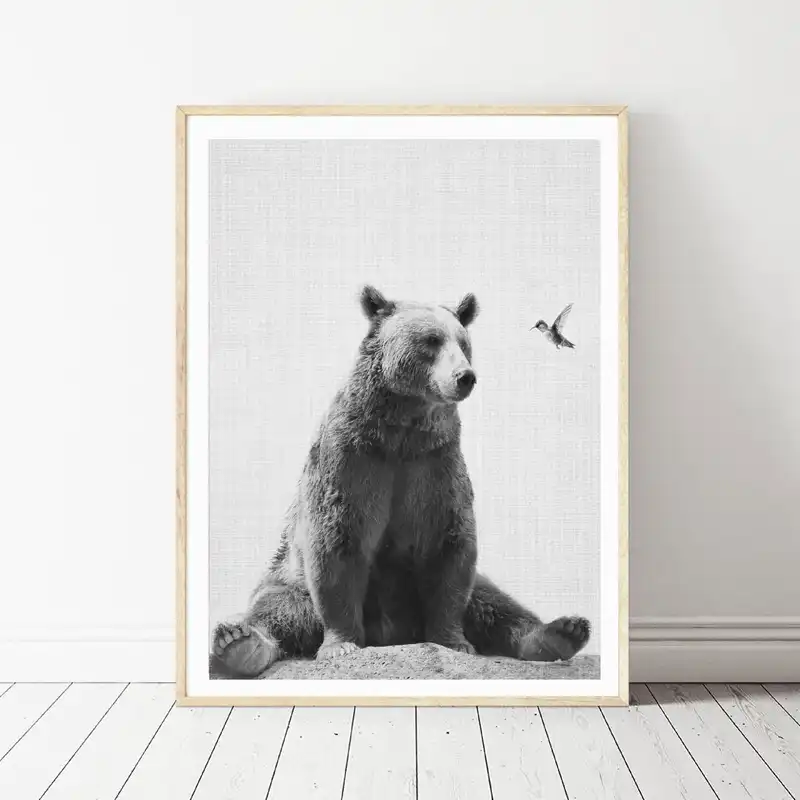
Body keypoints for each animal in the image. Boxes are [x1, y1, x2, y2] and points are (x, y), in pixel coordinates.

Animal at [211, 285, 591, 677]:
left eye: (463, 342)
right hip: (287, 578)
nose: (465, 376)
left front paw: (454, 641)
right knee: (276, 609)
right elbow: (337, 541)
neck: (401, 433)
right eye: (431, 340)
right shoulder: (353, 462)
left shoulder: (435, 465)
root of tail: (392, 634)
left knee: (492, 599)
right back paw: (238, 641)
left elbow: (451, 548)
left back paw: (561, 631)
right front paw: (341, 645)